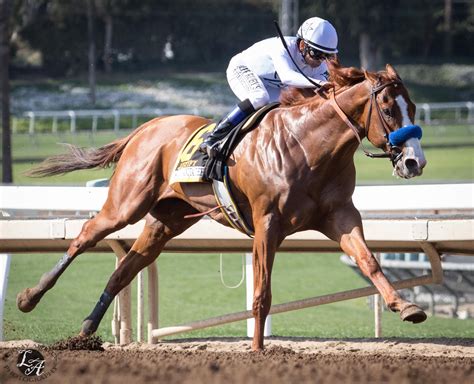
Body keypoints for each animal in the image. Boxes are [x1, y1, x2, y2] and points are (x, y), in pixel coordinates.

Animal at [16, 62, 428, 352]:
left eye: (413, 107)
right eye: (388, 108)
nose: (414, 162)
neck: (308, 146)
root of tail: (145, 128)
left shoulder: (340, 216)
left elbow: (369, 260)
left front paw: (406, 306)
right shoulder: (267, 223)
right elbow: (262, 293)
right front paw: (258, 350)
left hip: (166, 221)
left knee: (126, 269)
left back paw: (86, 332)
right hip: (126, 203)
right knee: (85, 236)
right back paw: (29, 297)